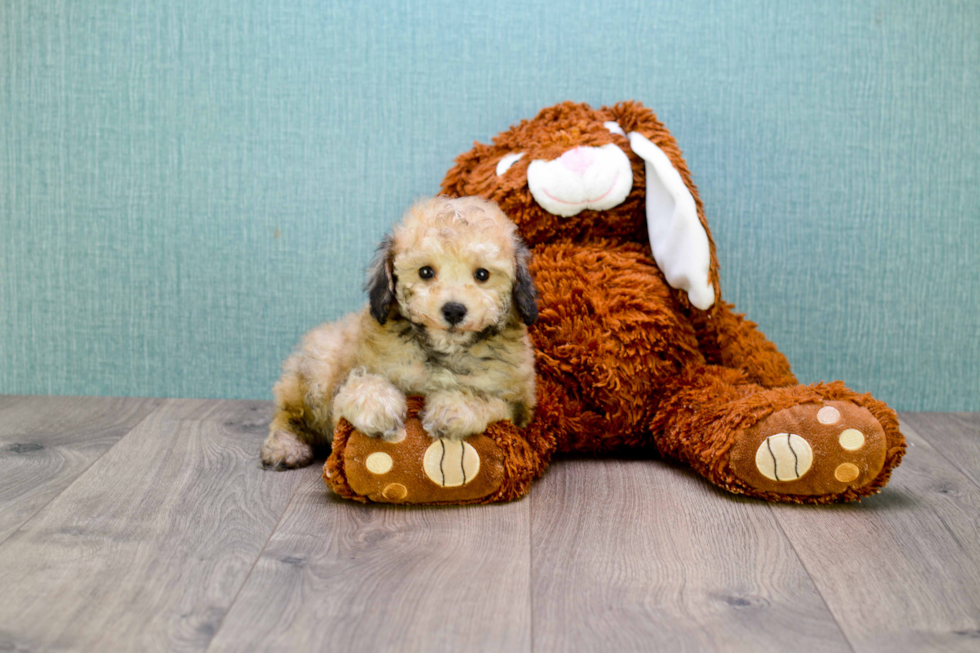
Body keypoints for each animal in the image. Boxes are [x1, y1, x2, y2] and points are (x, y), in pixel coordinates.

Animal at [260, 195, 540, 468]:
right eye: (425, 272)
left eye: (482, 274)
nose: (453, 310)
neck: (442, 351)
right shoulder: (343, 389)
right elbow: (357, 387)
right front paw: (376, 405)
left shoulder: (519, 407)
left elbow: (489, 400)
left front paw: (453, 409)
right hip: (314, 370)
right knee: (288, 415)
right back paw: (285, 447)